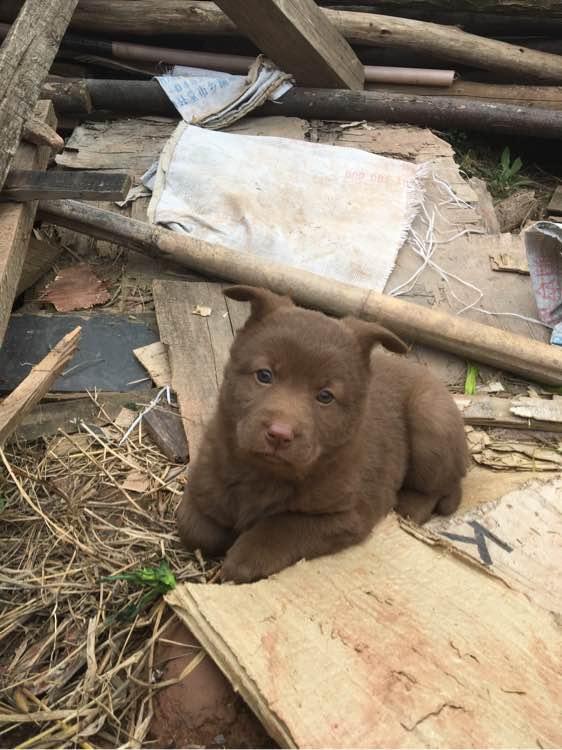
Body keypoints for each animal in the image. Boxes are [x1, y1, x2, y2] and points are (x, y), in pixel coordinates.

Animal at [177, 284, 466, 584]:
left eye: (325, 396)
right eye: (264, 375)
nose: (279, 434)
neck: (264, 474)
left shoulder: (349, 514)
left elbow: (284, 525)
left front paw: (244, 557)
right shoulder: (203, 478)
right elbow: (193, 527)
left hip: (430, 418)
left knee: (446, 485)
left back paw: (410, 506)